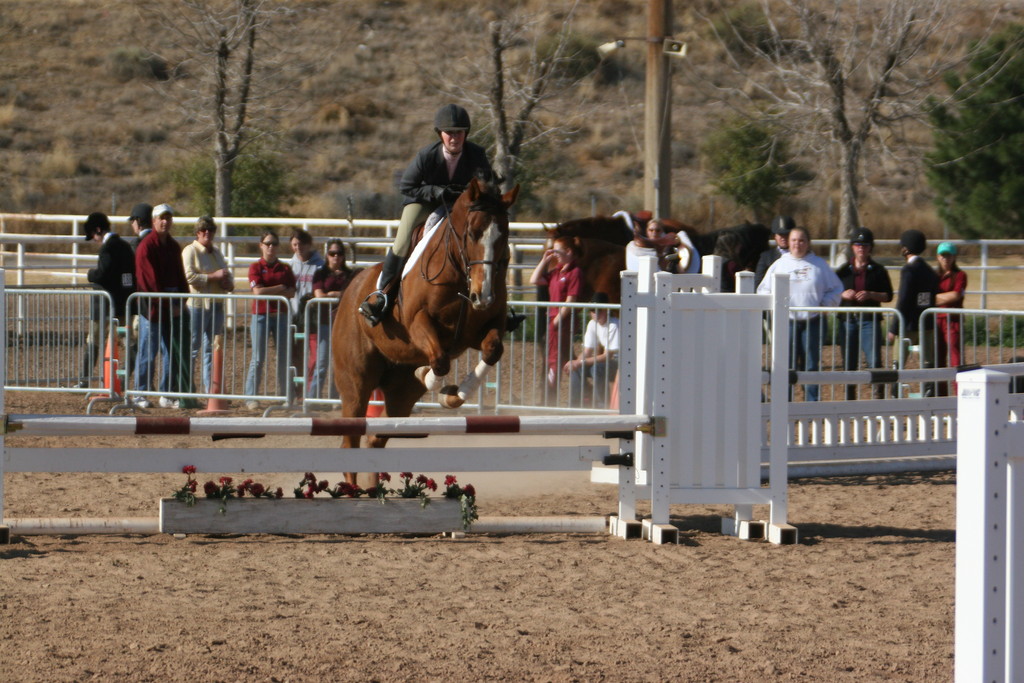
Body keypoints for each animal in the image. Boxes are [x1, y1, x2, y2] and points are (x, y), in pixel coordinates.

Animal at [331, 176, 516, 483]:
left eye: (504, 236)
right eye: (472, 234)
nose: (483, 296)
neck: (461, 274)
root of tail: (350, 290)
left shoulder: (487, 327)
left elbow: (492, 350)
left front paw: (454, 393)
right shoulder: (418, 322)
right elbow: (439, 361)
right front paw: (431, 378)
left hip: (400, 394)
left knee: (376, 437)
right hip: (356, 382)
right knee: (350, 439)